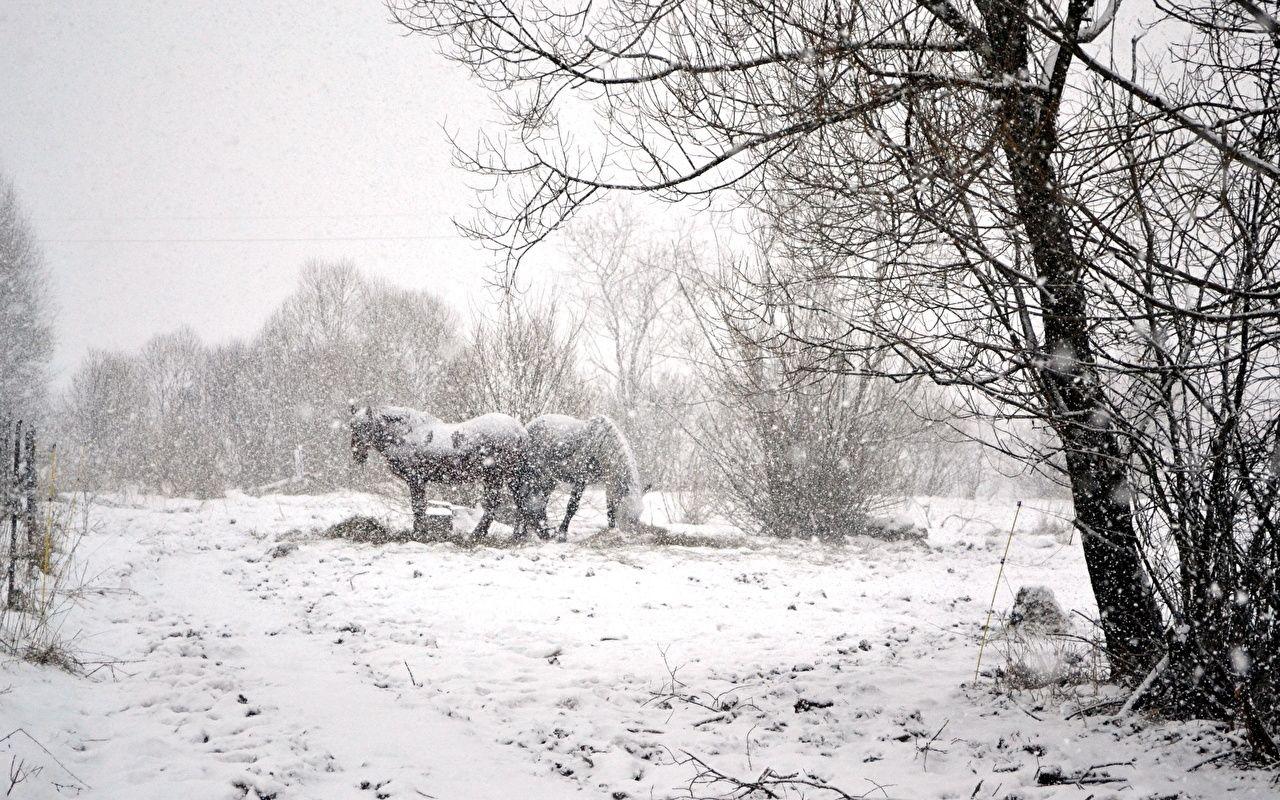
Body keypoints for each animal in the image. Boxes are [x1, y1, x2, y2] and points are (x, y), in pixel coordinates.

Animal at [349, 405, 528, 539]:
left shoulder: (415, 479)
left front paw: (419, 533)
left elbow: (418, 506)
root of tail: (520, 431)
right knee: (520, 503)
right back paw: (517, 535)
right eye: (352, 426)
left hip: (495, 477)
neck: (406, 434)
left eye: (365, 426)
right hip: (510, 478)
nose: (357, 454)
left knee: (493, 504)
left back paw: (477, 534)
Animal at [516, 414, 644, 541]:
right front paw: (562, 535)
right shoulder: (581, 479)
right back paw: (522, 532)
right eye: (626, 515)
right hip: (535, 474)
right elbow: (572, 506)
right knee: (525, 497)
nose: (629, 536)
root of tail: (527, 427)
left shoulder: (609, 484)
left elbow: (610, 506)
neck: (599, 445)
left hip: (549, 478)